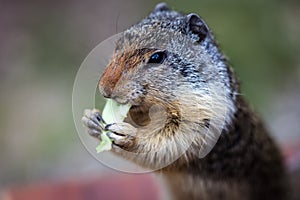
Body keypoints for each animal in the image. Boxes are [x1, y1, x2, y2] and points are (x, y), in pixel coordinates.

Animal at [82, 3, 288, 200]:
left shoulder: (201, 124)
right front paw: (91, 119)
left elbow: (167, 145)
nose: (105, 88)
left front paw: (128, 135)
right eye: (118, 43)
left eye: (156, 57)